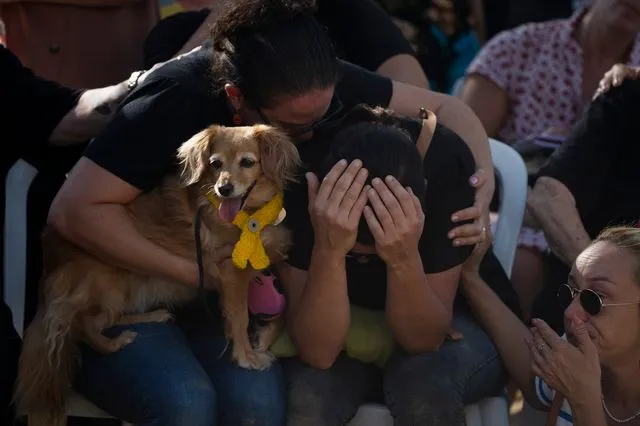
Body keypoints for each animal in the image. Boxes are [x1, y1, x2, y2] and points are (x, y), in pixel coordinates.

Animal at [15, 125, 300, 424]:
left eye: (247, 162)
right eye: (215, 164)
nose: (224, 189)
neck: (251, 216)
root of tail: (49, 263)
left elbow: (284, 307)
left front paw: (264, 338)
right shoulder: (229, 272)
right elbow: (239, 317)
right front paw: (247, 357)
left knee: (108, 319)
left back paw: (153, 316)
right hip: (110, 279)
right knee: (84, 326)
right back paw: (115, 343)